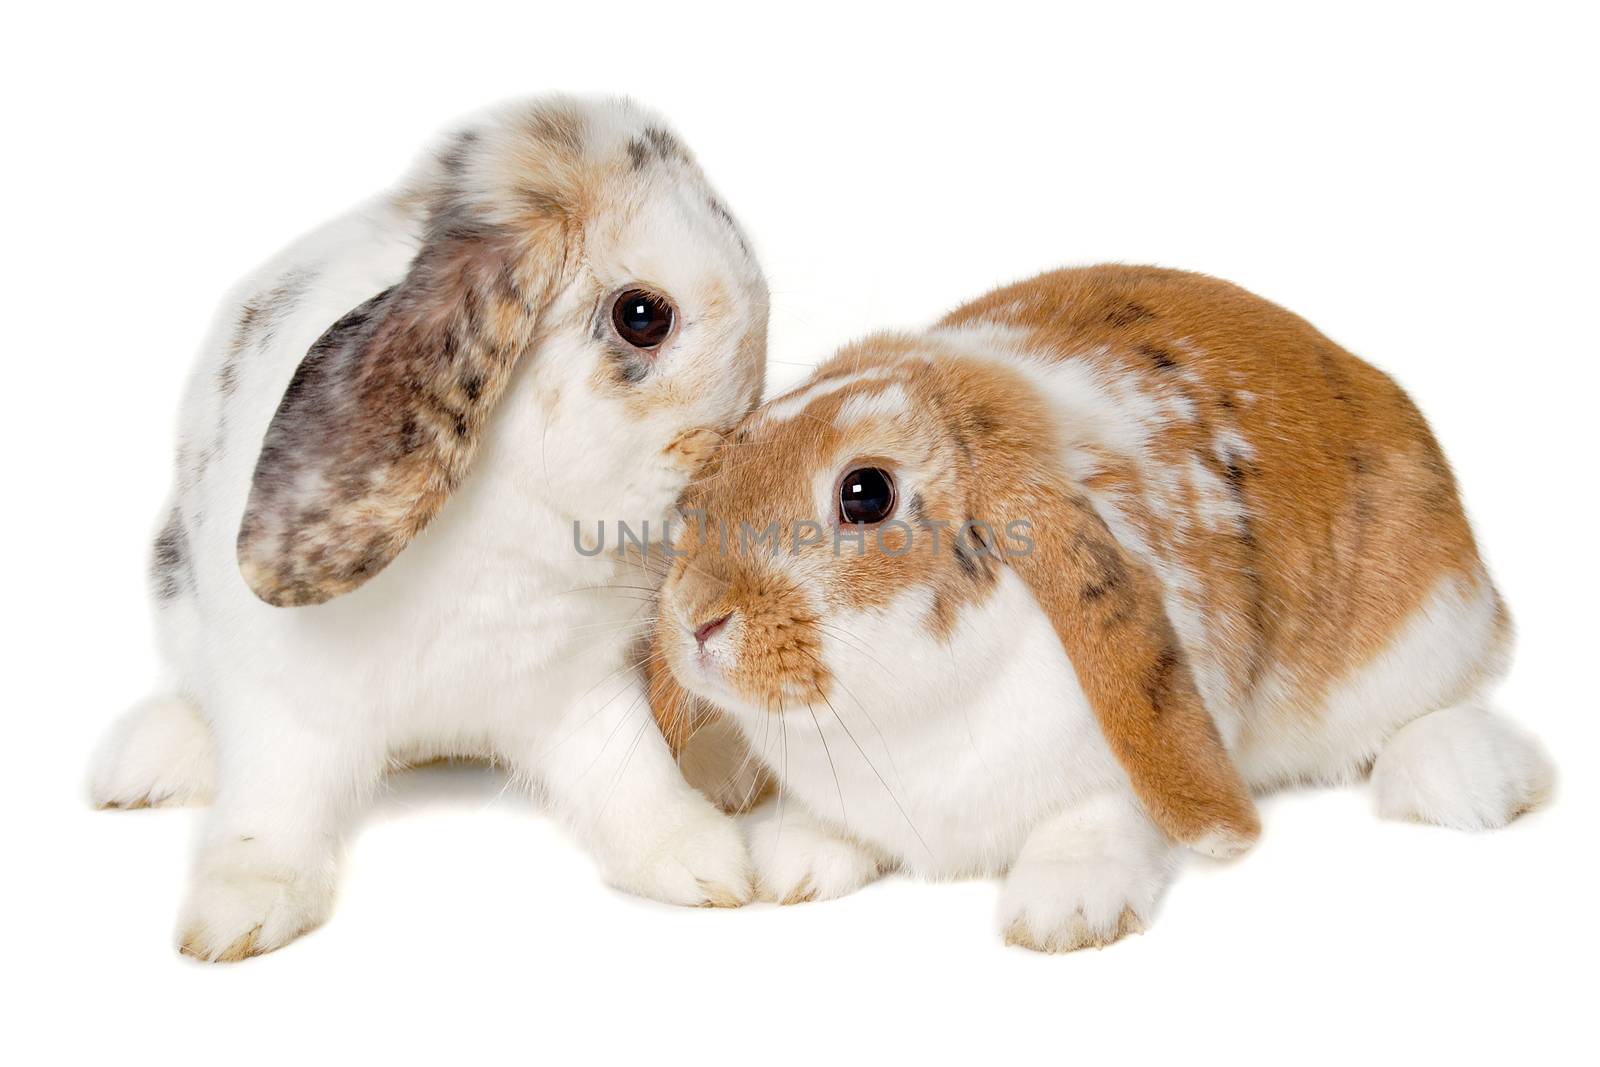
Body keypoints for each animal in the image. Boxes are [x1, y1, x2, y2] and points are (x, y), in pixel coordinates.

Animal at [646, 265, 1548, 953]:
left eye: (866, 493)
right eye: (730, 457)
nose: (697, 620)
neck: (900, 718)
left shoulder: (1123, 763)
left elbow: (1101, 817)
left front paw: (1062, 913)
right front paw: (797, 859)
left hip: (1423, 626)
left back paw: (1464, 781)